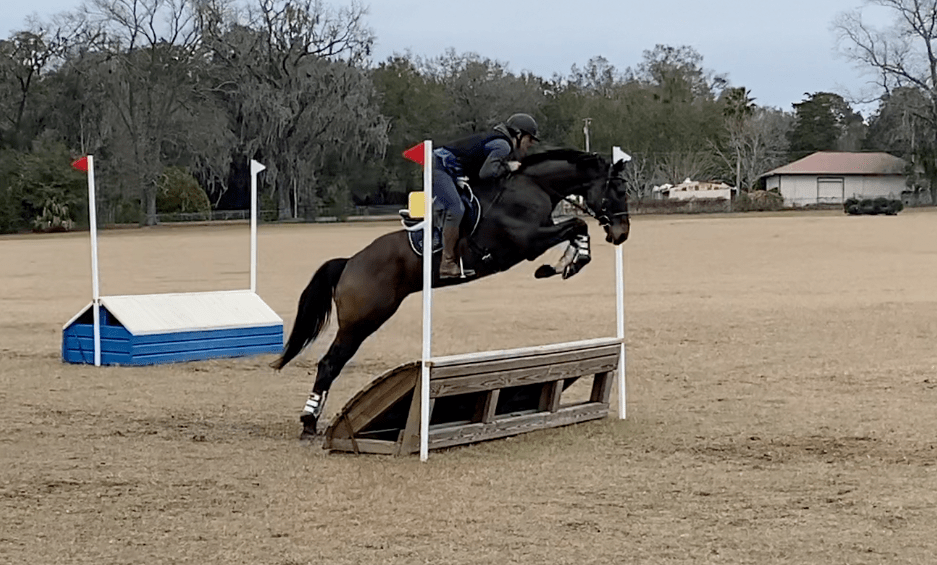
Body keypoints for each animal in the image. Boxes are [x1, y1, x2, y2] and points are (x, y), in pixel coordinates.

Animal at [270, 148, 631, 438]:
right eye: (617, 189)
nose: (621, 234)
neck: (533, 186)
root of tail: (349, 263)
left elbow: (577, 229)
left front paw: (566, 264)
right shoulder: (527, 242)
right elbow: (577, 225)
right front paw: (564, 264)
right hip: (362, 321)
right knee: (330, 364)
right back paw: (308, 422)